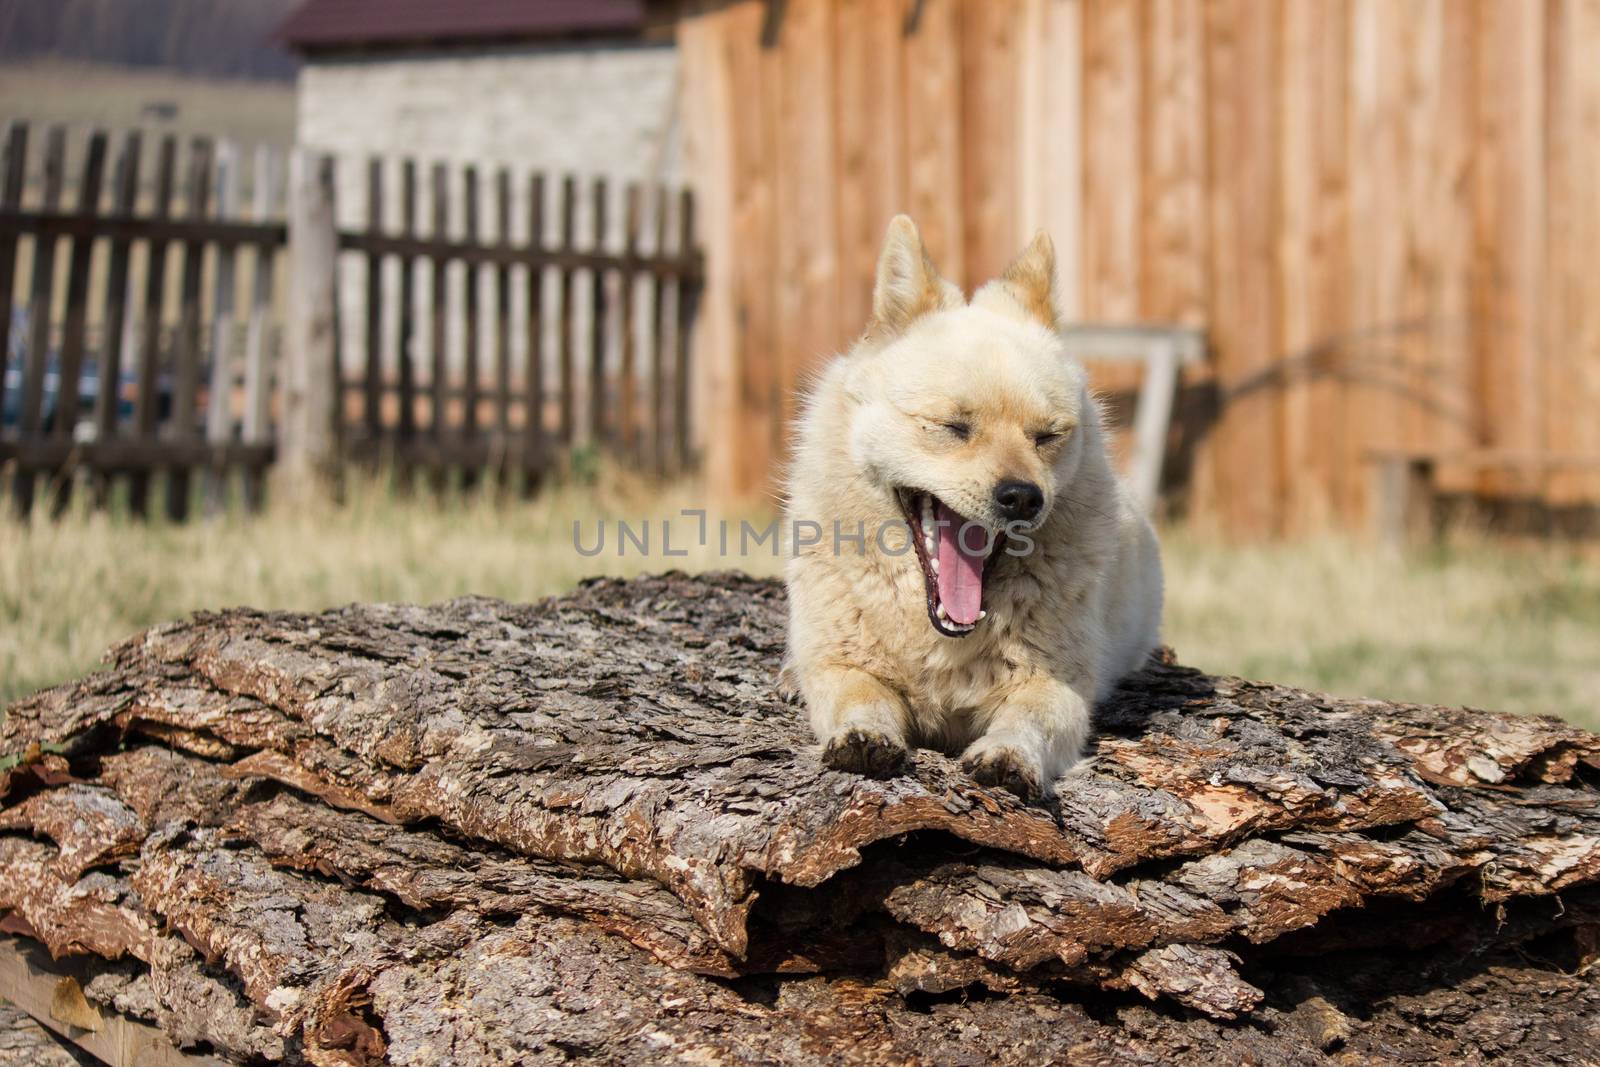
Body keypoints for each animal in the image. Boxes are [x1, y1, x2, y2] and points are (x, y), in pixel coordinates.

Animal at [784, 214, 1164, 799]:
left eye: (1047, 436)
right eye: (952, 427)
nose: (1023, 497)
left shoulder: (1056, 687)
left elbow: (1028, 719)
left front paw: (1009, 756)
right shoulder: (840, 666)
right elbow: (860, 696)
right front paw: (864, 735)